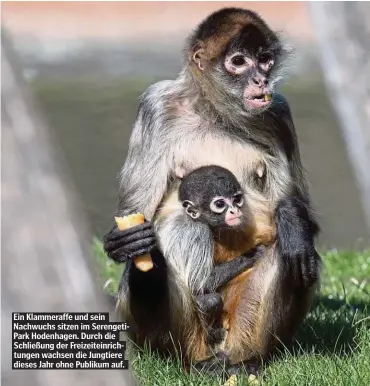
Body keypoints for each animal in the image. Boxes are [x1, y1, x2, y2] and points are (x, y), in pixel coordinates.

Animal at [105, 7, 320, 376]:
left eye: (264, 61)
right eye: (238, 62)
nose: (261, 80)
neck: (216, 113)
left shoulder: (278, 111)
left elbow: (301, 218)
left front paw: (292, 219)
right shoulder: (156, 104)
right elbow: (136, 212)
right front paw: (122, 242)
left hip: (241, 325)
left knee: (295, 254)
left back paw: (246, 361)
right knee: (153, 260)